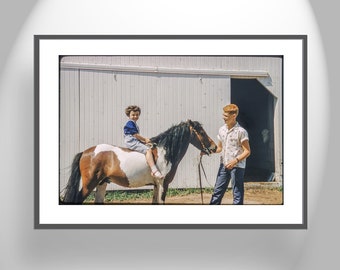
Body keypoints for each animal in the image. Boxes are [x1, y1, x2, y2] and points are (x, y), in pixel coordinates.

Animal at [60, 120, 215, 205]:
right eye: (201, 132)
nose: (214, 147)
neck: (165, 153)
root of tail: (85, 152)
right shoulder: (163, 184)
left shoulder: (156, 185)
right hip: (90, 184)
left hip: (102, 183)